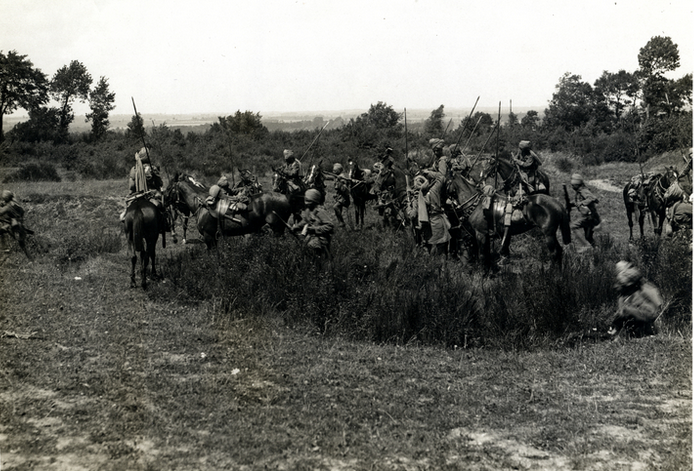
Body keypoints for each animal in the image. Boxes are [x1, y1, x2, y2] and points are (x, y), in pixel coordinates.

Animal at [164, 171, 292, 249]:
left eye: (169, 188)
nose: (163, 200)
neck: (202, 205)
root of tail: (286, 197)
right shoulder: (213, 238)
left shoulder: (209, 237)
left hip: (278, 229)